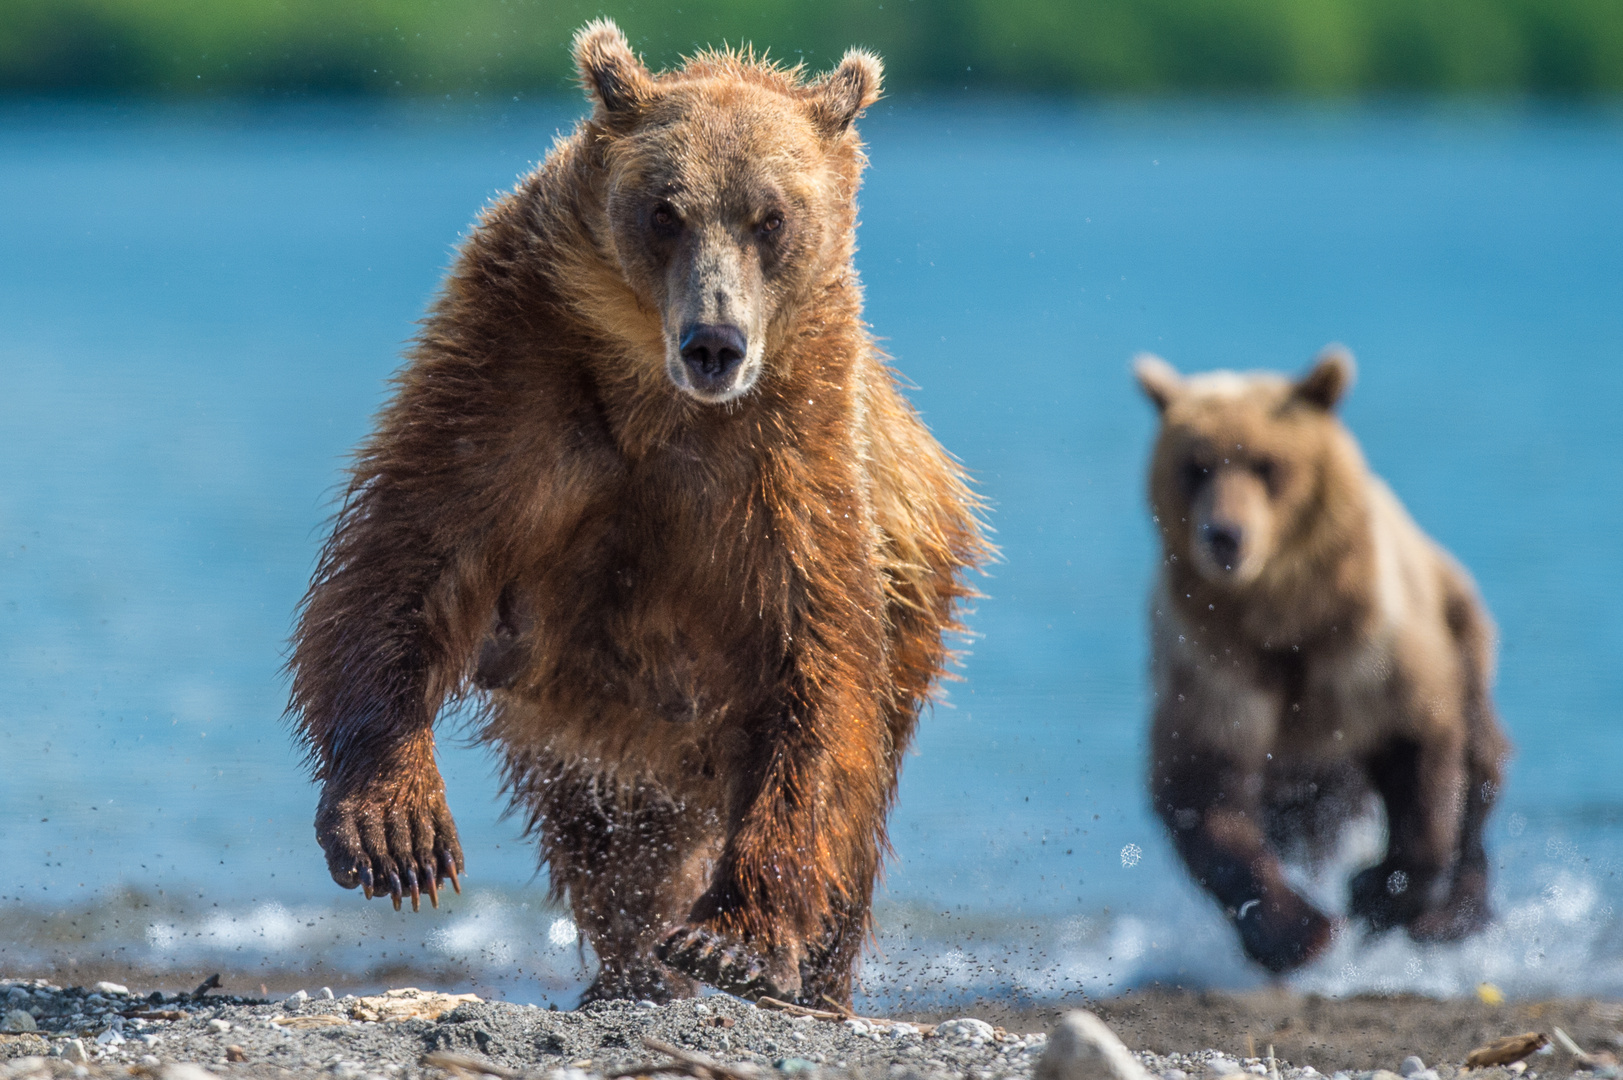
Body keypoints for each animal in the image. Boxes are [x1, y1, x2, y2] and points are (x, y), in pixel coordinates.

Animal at [288, 21, 986, 1006]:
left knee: (858, 791)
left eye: (771, 217)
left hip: (916, 601)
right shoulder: (516, 375)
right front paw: (397, 830)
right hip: (585, 728)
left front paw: (734, 942)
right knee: (603, 834)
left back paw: (807, 977)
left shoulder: (791, 456)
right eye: (665, 211)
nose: (714, 343)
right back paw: (632, 967)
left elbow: (815, 664)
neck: (654, 397)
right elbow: (409, 556)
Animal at [1136, 349, 1512, 974]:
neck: (1285, 614)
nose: (1224, 536)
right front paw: (1296, 931)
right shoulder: (1215, 663)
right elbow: (1203, 787)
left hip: (1461, 632)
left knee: (1479, 764)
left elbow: (1422, 759)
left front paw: (1376, 893)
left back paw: (1453, 916)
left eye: (1267, 464)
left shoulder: (1372, 652)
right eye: (1196, 466)